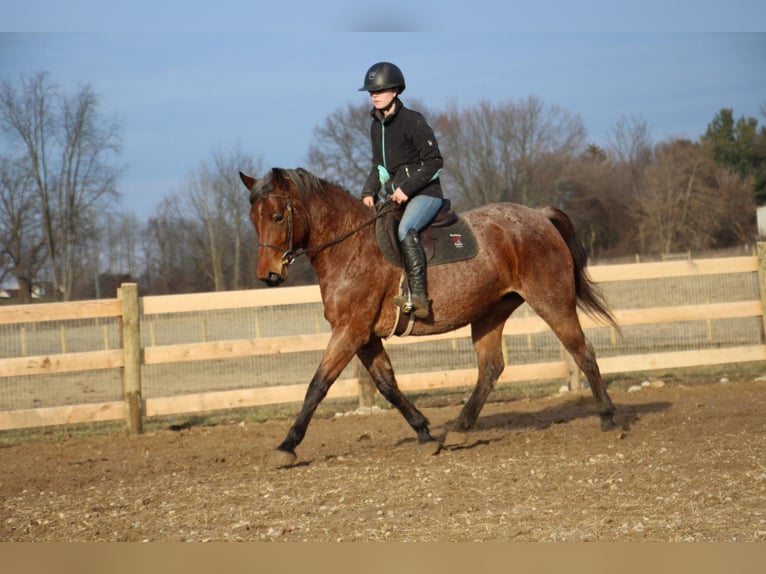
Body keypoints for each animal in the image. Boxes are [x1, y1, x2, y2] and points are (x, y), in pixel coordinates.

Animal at [243, 166, 620, 468]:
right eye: (253, 219)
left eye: (277, 217)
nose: (268, 275)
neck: (350, 247)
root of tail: (539, 216)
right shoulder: (364, 337)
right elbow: (387, 385)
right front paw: (425, 433)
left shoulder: (349, 331)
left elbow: (317, 386)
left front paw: (287, 445)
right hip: (491, 312)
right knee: (491, 367)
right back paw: (459, 429)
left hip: (552, 302)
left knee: (582, 351)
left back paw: (608, 418)